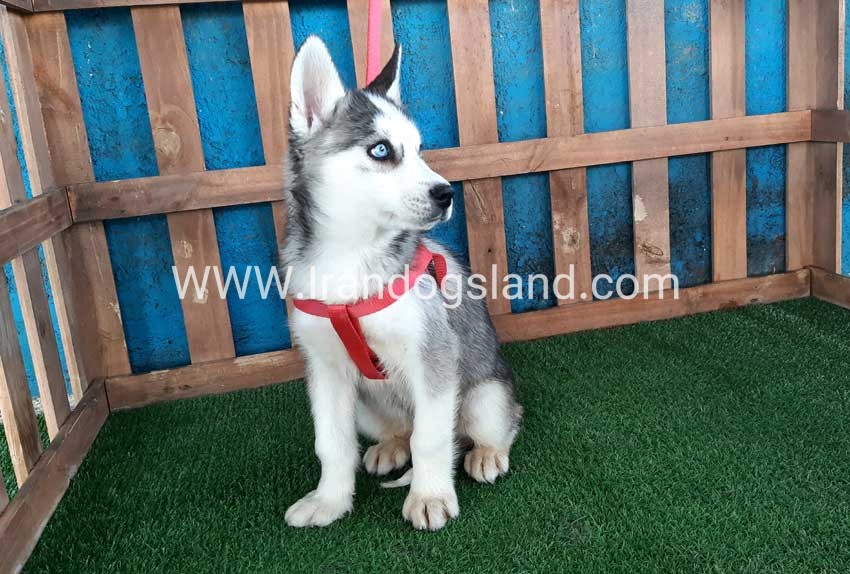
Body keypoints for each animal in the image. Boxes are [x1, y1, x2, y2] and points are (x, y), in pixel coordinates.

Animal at [281, 36, 522, 531]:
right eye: (380, 150)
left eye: (419, 148)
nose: (446, 194)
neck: (350, 256)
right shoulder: (324, 368)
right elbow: (330, 444)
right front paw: (329, 500)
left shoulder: (433, 356)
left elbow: (430, 439)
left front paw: (429, 497)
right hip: (366, 406)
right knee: (401, 430)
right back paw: (390, 447)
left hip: (483, 394)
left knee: (491, 425)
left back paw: (487, 453)